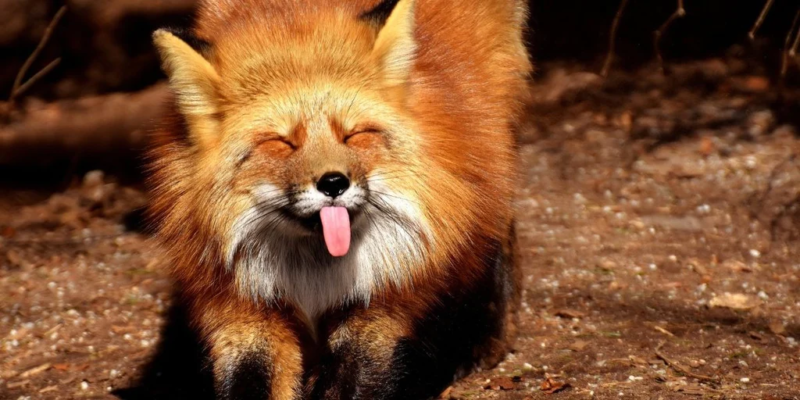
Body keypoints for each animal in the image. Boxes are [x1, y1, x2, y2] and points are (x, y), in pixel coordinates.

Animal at [147, 0, 531, 398]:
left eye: (354, 135)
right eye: (282, 142)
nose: (333, 183)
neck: (314, 276)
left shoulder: (382, 303)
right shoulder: (244, 309)